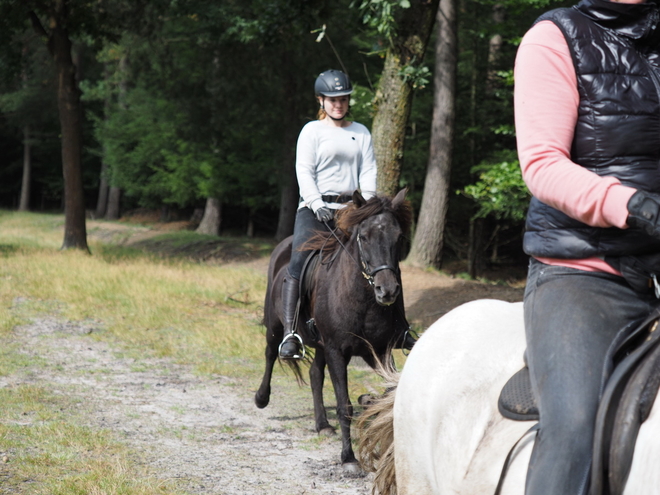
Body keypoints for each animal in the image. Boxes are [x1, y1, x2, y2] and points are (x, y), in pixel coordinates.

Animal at [254, 189, 412, 472]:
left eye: (399, 237)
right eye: (364, 237)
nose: (387, 290)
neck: (363, 300)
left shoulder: (379, 351)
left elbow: (389, 394)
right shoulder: (338, 351)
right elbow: (343, 405)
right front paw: (349, 458)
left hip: (321, 345)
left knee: (315, 374)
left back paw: (322, 425)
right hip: (275, 327)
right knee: (271, 354)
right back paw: (262, 397)